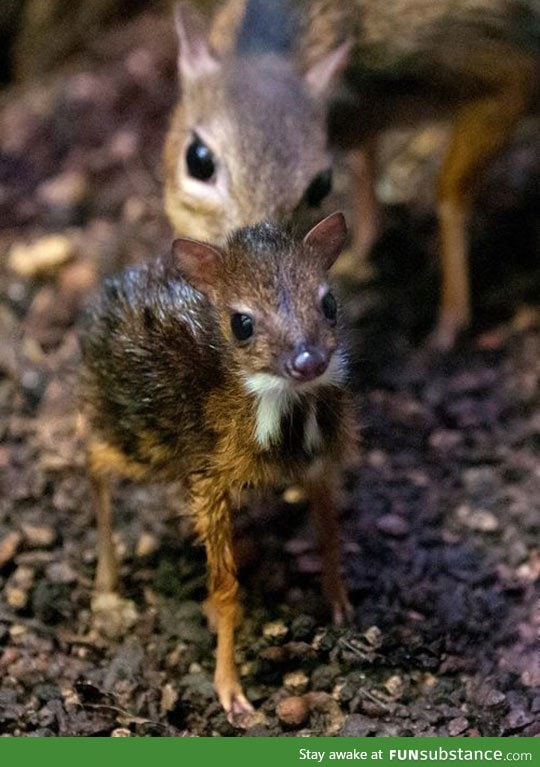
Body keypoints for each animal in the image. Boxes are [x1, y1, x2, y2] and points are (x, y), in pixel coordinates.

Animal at [80, 213, 356, 716]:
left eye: (328, 303)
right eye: (241, 323)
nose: (308, 361)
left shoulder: (319, 462)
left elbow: (329, 532)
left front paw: (339, 602)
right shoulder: (209, 477)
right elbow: (226, 589)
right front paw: (230, 689)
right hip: (144, 442)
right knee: (92, 457)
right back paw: (106, 584)